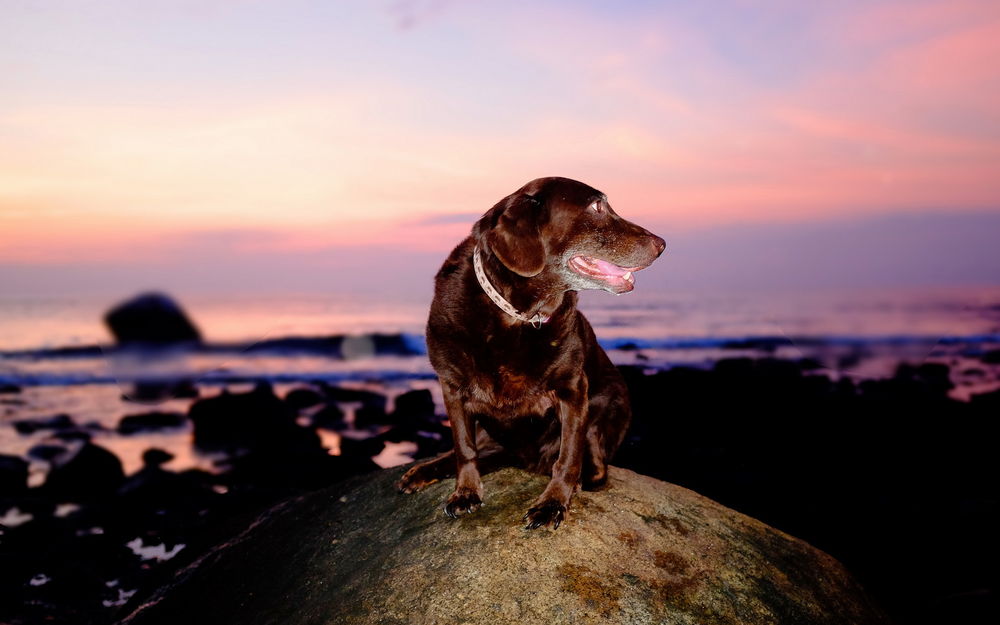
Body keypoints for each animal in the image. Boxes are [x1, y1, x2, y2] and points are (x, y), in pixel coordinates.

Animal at [396, 176, 664, 528]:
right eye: (596, 206)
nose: (662, 245)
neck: (520, 315)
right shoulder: (452, 388)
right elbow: (464, 448)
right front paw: (466, 492)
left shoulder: (573, 390)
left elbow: (568, 457)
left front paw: (553, 503)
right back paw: (425, 470)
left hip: (610, 398)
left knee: (593, 464)